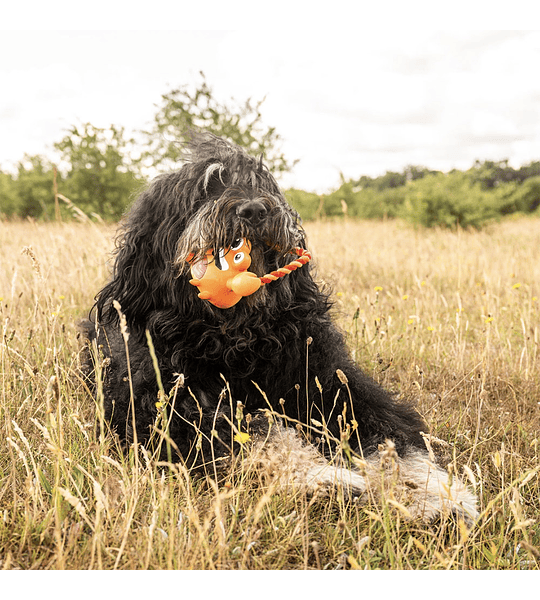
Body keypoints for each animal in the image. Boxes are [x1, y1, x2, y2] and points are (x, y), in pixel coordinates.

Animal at [82, 131, 478, 520]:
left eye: (261, 184)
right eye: (208, 187)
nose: (255, 210)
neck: (236, 338)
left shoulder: (331, 381)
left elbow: (390, 436)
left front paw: (428, 492)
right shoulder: (160, 407)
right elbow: (259, 434)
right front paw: (325, 477)